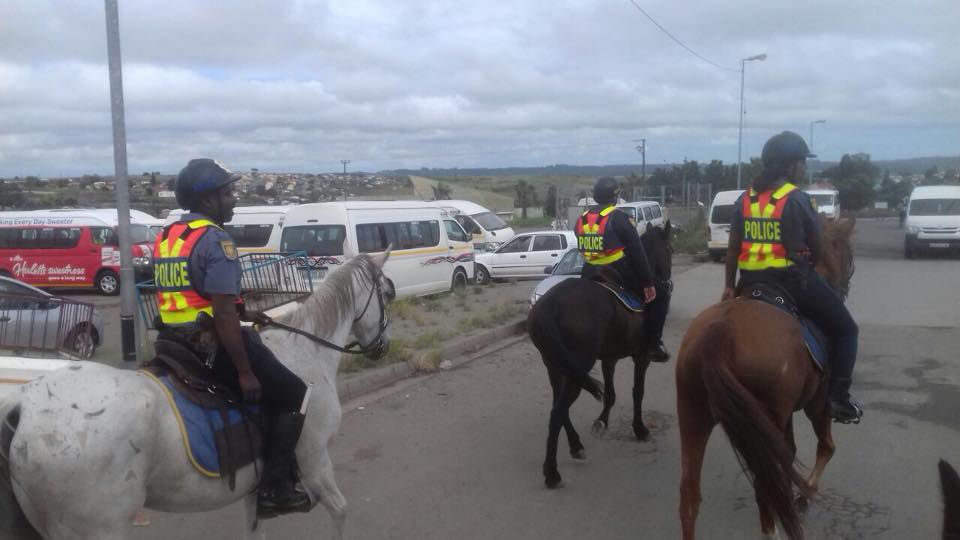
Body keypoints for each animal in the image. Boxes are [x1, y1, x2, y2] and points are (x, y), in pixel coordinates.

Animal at [0, 253, 394, 540]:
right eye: (388, 293)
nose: (382, 346)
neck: (304, 350)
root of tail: (23, 407)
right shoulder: (315, 463)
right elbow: (341, 510)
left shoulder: (257, 490)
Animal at [528, 221, 672, 488]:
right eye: (670, 248)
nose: (666, 283)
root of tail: (549, 307)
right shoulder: (641, 357)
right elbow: (637, 392)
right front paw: (640, 429)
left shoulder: (609, 359)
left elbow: (611, 394)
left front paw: (602, 422)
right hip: (577, 369)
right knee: (557, 412)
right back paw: (552, 472)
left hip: (557, 367)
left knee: (559, 407)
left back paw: (575, 446)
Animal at [676, 217, 856, 536]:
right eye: (849, 257)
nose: (843, 288)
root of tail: (720, 332)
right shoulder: (818, 402)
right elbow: (826, 448)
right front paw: (804, 496)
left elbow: (792, 454)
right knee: (766, 486)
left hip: (694, 414)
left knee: (689, 496)